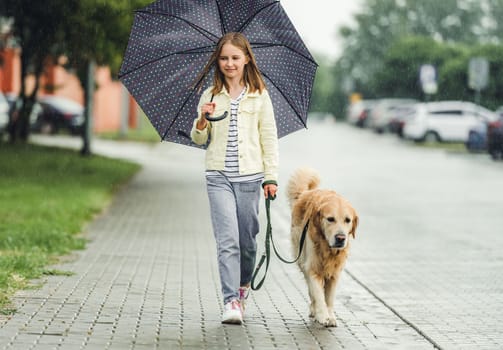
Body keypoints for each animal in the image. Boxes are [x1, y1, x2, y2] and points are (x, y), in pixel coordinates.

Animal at [288, 168, 358, 326]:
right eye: (330, 219)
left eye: (348, 220)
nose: (340, 238)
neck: (328, 248)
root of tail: (305, 193)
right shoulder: (312, 268)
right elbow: (319, 295)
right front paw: (322, 315)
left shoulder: (335, 273)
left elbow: (329, 298)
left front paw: (330, 316)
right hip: (302, 259)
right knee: (311, 291)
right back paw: (314, 311)